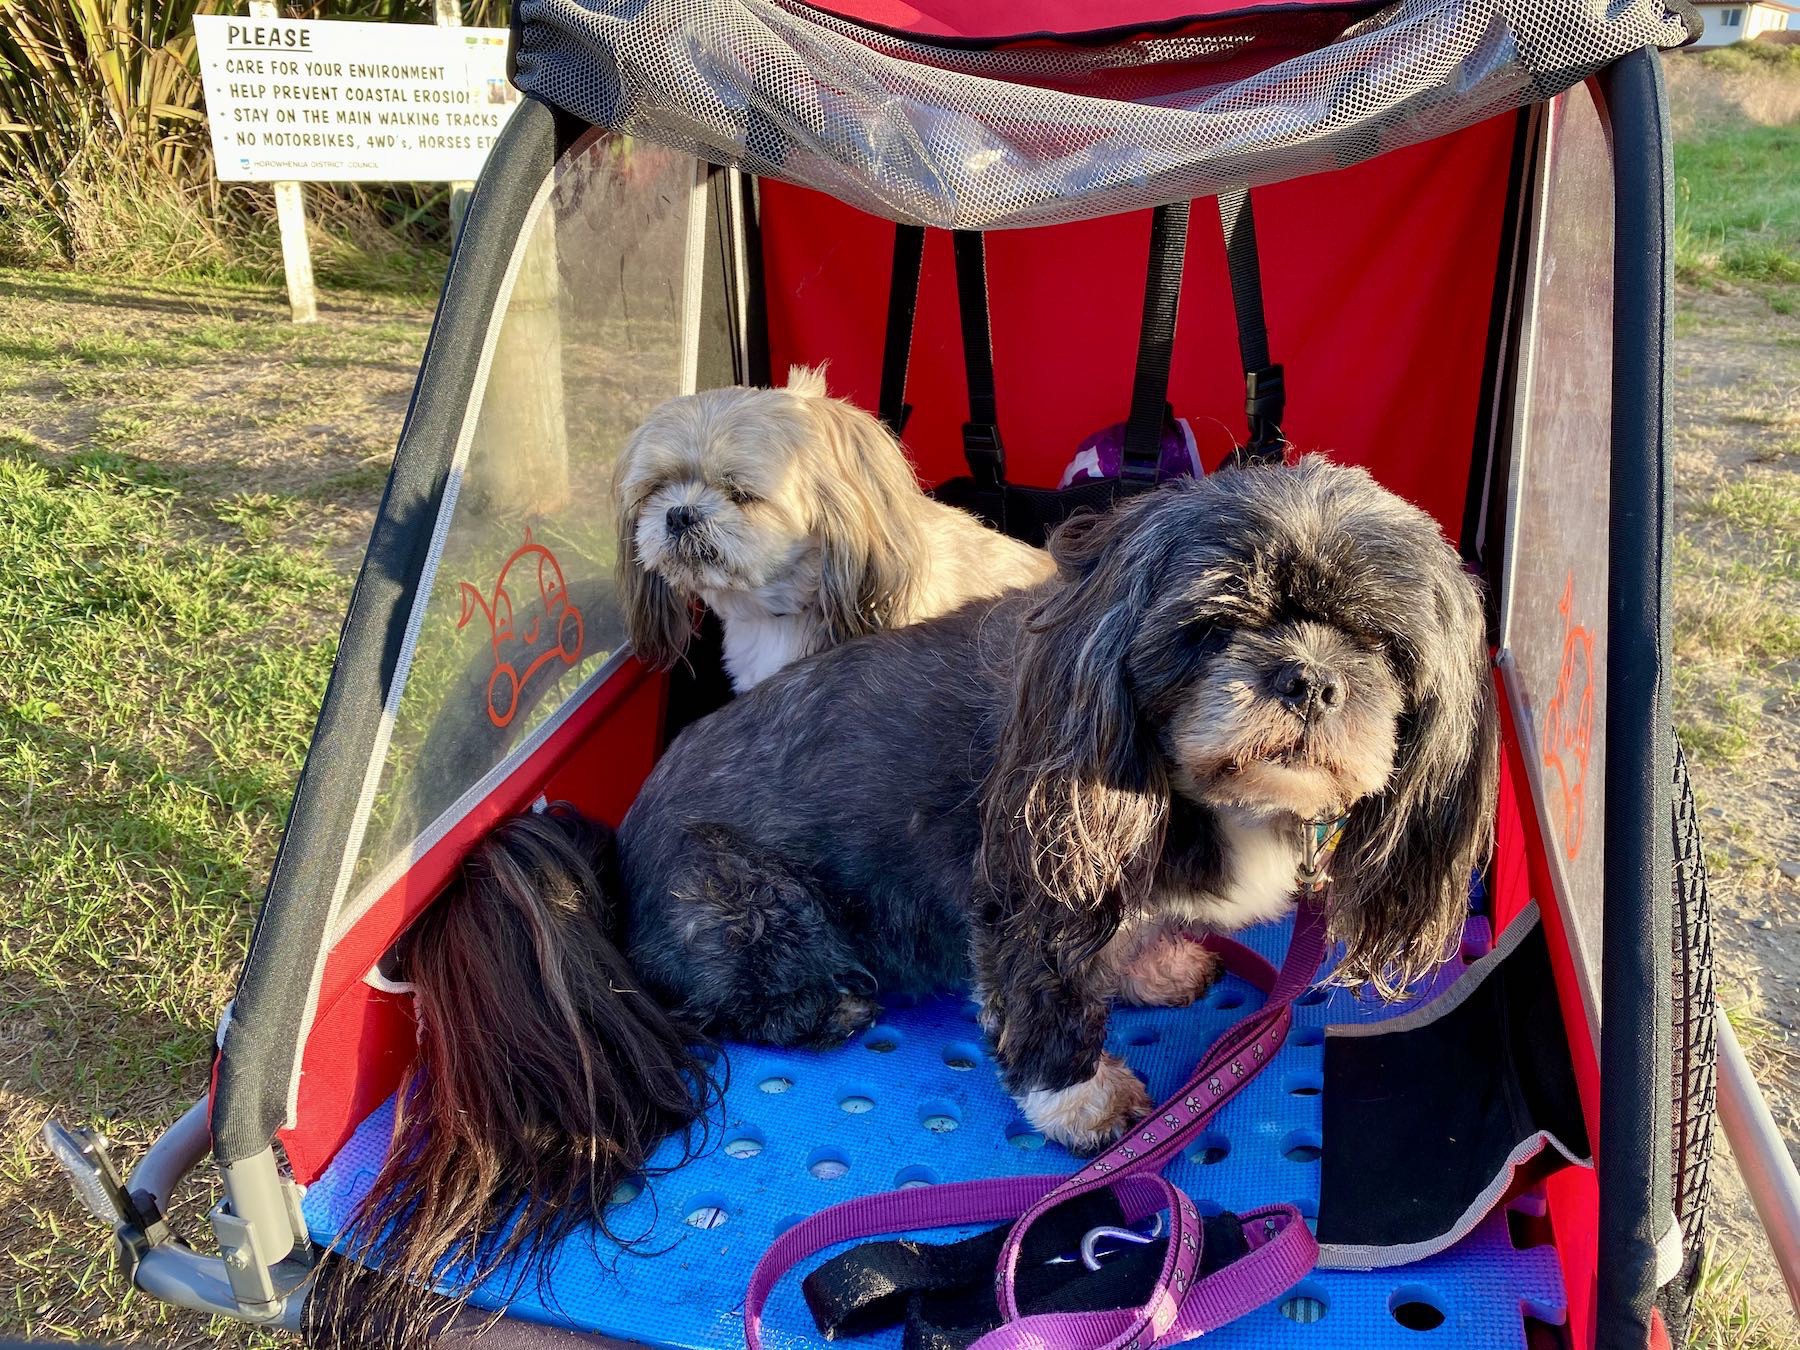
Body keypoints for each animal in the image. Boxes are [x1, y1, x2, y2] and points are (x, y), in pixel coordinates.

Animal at [626, 464, 1497, 1152]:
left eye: (1381, 643)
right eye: (1217, 625)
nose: (1310, 680)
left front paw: (1151, 963)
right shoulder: (1030, 879)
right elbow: (1046, 989)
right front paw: (1082, 1100)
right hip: (747, 900)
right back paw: (825, 1004)